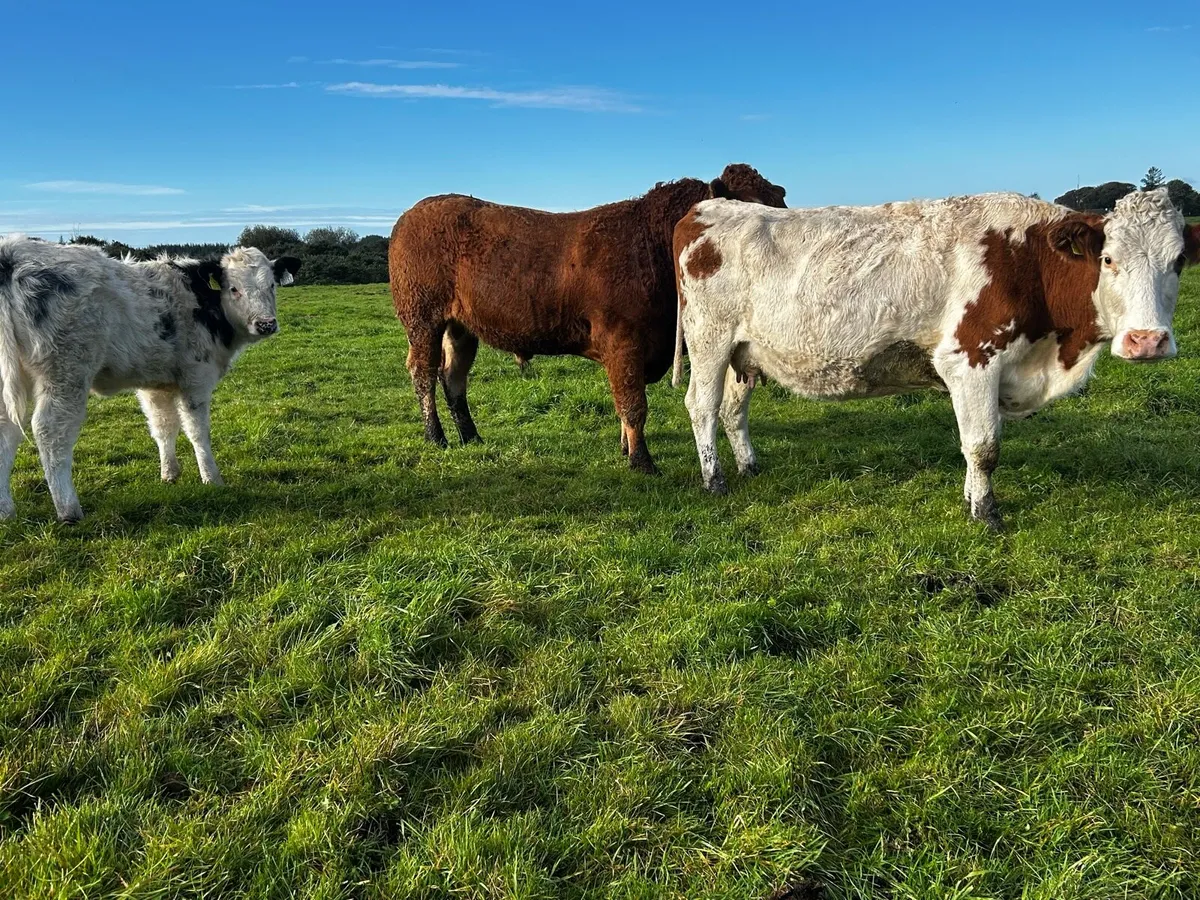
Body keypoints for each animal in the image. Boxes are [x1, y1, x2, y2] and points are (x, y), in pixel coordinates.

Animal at [0, 237, 301, 522]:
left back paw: (5, 511)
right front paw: (212, 478)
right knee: (50, 431)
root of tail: (12, 253)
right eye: (234, 289)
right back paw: (68, 510)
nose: (266, 324)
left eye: (271, 285)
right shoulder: (196, 378)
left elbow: (163, 427)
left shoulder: (156, 384)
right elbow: (197, 432)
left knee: (7, 429)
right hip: (66, 371)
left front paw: (169, 474)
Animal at [389, 164, 787, 475]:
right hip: (422, 320)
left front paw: (626, 449)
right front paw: (642, 461)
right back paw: (436, 436)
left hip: (461, 328)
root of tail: (416, 211)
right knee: (423, 375)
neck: (652, 246)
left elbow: (624, 404)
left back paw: (471, 436)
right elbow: (633, 405)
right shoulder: (624, 343)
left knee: (453, 377)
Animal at [672, 188, 1200, 530]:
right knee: (702, 406)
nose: (1147, 341)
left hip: (744, 351)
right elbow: (984, 446)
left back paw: (749, 466)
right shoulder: (970, 358)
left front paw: (971, 498)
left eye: (1178, 262)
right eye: (1108, 259)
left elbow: (975, 445)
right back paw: (714, 480)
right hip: (709, 339)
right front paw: (986, 513)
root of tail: (706, 208)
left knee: (732, 408)